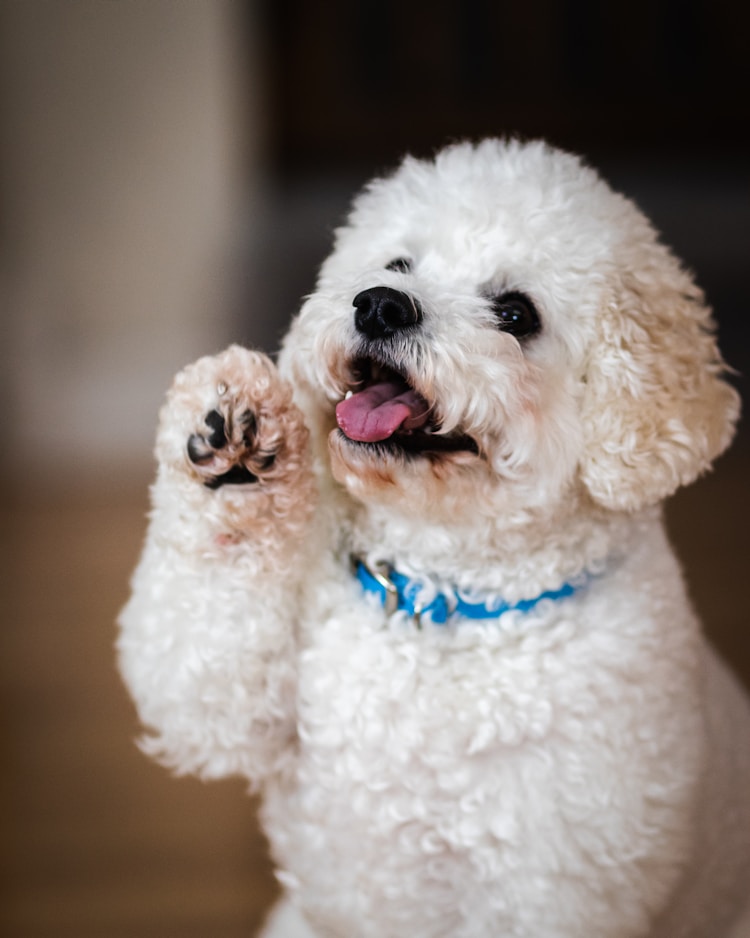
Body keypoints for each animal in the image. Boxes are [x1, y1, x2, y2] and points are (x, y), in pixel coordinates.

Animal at [117, 139, 750, 936]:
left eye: (515, 313)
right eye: (398, 264)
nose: (380, 304)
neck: (440, 601)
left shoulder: (553, 886)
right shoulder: (231, 701)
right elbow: (195, 661)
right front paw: (231, 433)